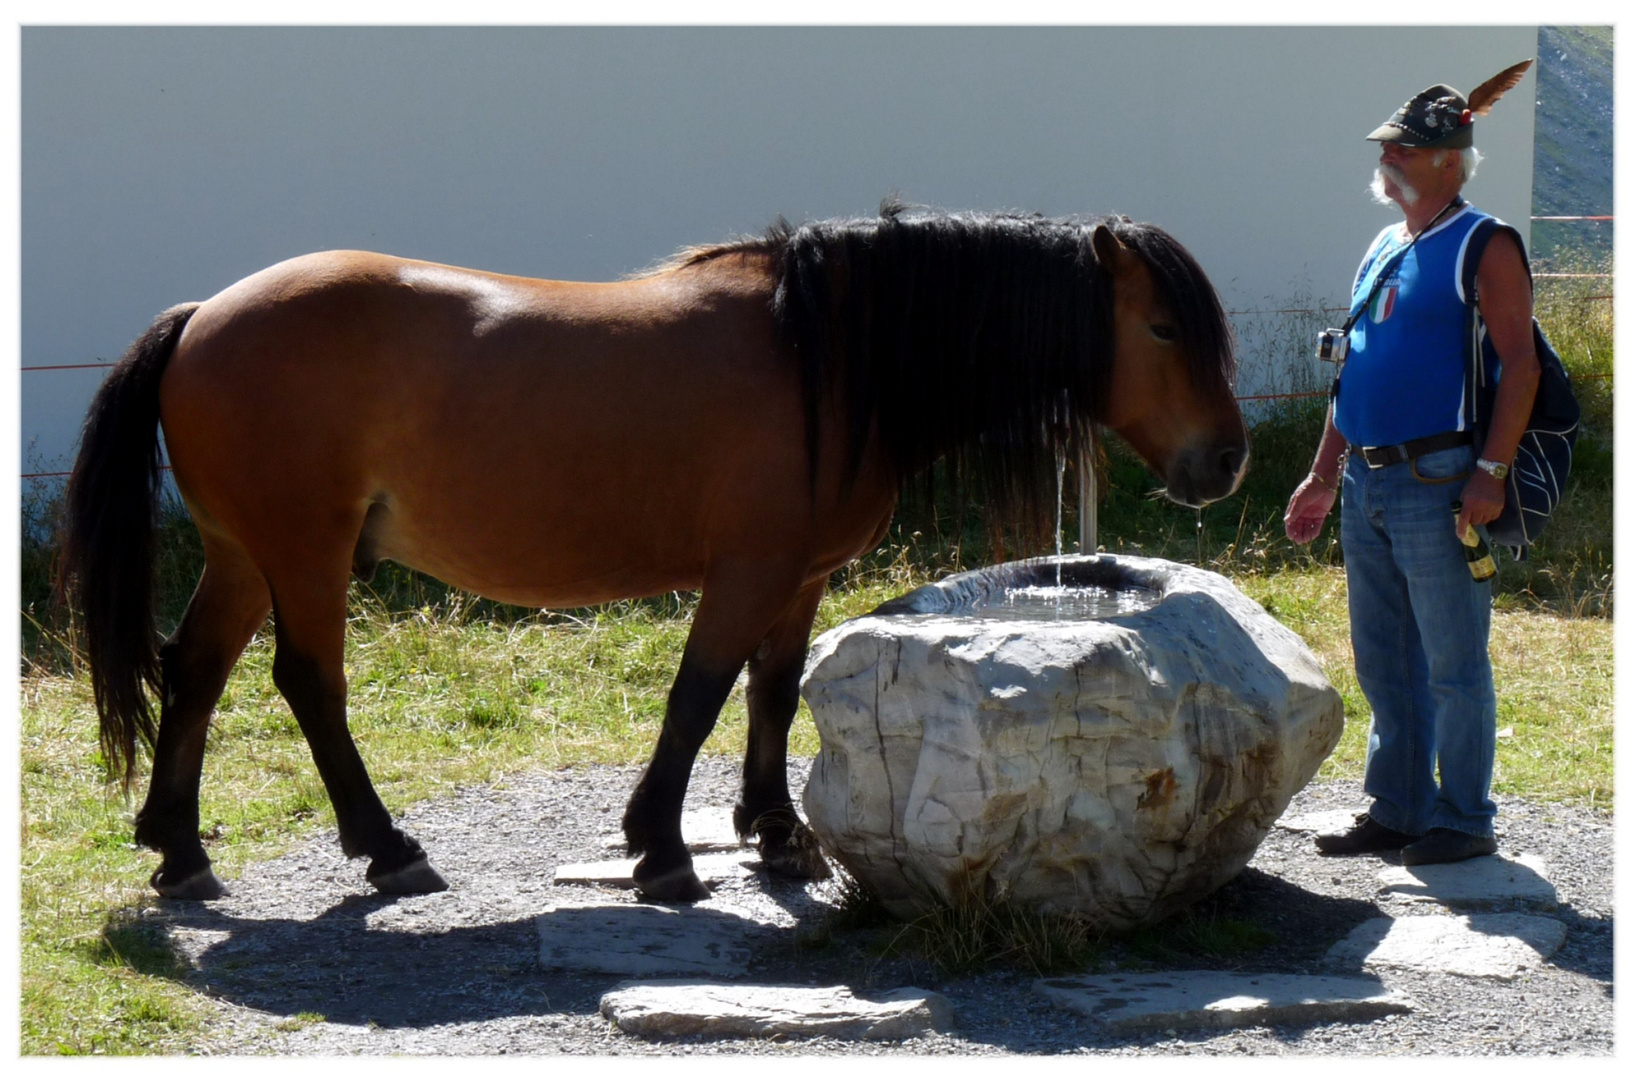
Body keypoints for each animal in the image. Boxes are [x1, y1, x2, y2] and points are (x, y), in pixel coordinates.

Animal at [57, 200, 1241, 901]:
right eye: (1163, 329)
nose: (1224, 461)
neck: (821, 357)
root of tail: (205, 313)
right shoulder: (747, 572)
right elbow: (699, 692)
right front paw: (663, 848)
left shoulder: (800, 576)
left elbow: (771, 693)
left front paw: (775, 832)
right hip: (302, 555)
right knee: (308, 683)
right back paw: (386, 847)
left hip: (242, 555)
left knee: (193, 673)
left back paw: (178, 849)